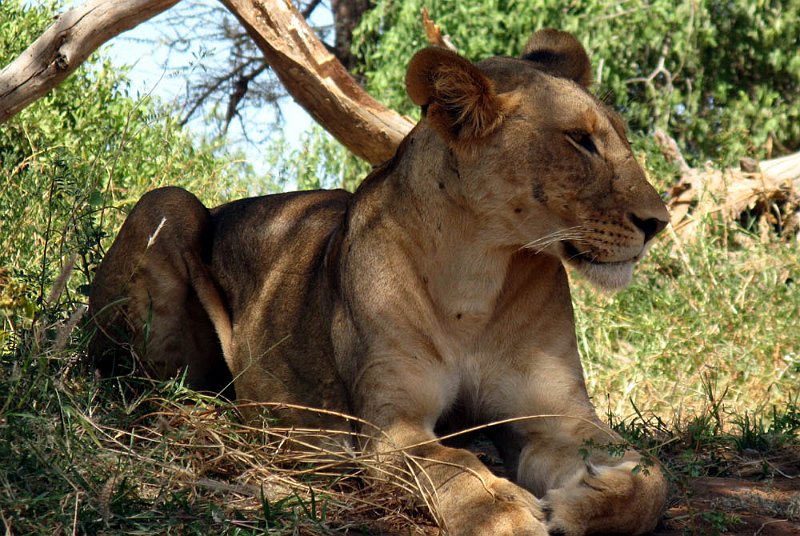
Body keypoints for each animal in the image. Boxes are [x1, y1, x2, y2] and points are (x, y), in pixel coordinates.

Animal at [89, 29, 670, 535]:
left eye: (621, 137)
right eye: (580, 141)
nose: (659, 222)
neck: (479, 275)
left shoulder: (557, 414)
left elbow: (652, 475)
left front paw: (585, 499)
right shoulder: (392, 424)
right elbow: (453, 463)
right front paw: (501, 516)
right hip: (168, 203)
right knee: (137, 386)